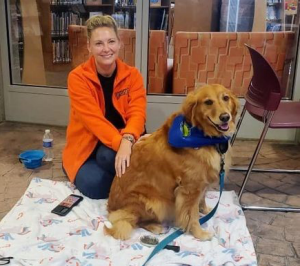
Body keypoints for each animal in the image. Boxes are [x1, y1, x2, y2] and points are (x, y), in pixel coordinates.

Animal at [103, 84, 239, 240]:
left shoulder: (202, 182)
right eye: (208, 102)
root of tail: (110, 208)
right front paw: (200, 233)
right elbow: (192, 216)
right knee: (134, 220)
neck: (202, 136)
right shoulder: (190, 189)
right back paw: (155, 226)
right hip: (156, 202)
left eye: (226, 98)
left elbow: (202, 198)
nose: (225, 117)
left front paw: (205, 210)